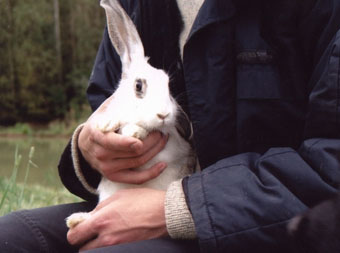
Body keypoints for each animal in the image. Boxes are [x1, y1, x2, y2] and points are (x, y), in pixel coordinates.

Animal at [66, 0, 197, 229]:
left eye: (167, 84)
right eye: (138, 86)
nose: (163, 114)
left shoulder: (172, 145)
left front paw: (134, 132)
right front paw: (109, 125)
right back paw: (77, 220)